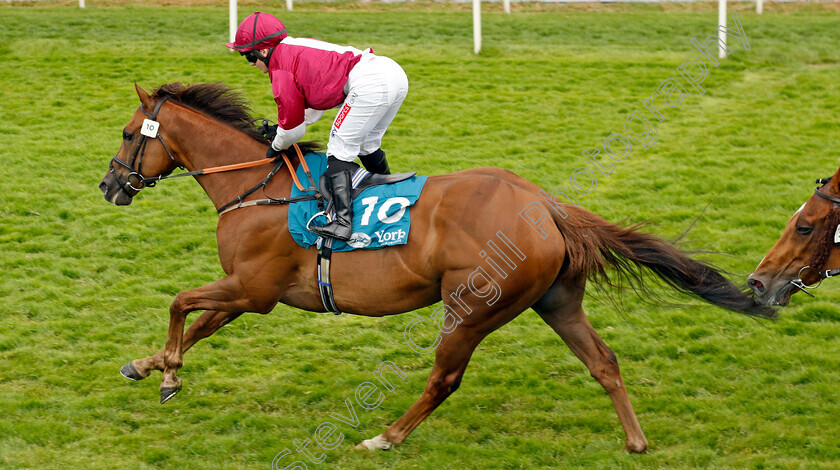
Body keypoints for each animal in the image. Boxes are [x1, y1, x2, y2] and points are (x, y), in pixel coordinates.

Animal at [98, 82, 776, 454]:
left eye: (130, 133)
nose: (110, 186)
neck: (257, 188)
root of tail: (545, 205)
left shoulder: (253, 287)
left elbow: (181, 303)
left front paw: (167, 371)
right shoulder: (252, 291)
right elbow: (199, 320)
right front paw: (151, 365)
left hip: (473, 307)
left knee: (444, 379)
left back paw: (385, 436)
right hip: (556, 301)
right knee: (603, 362)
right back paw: (635, 440)